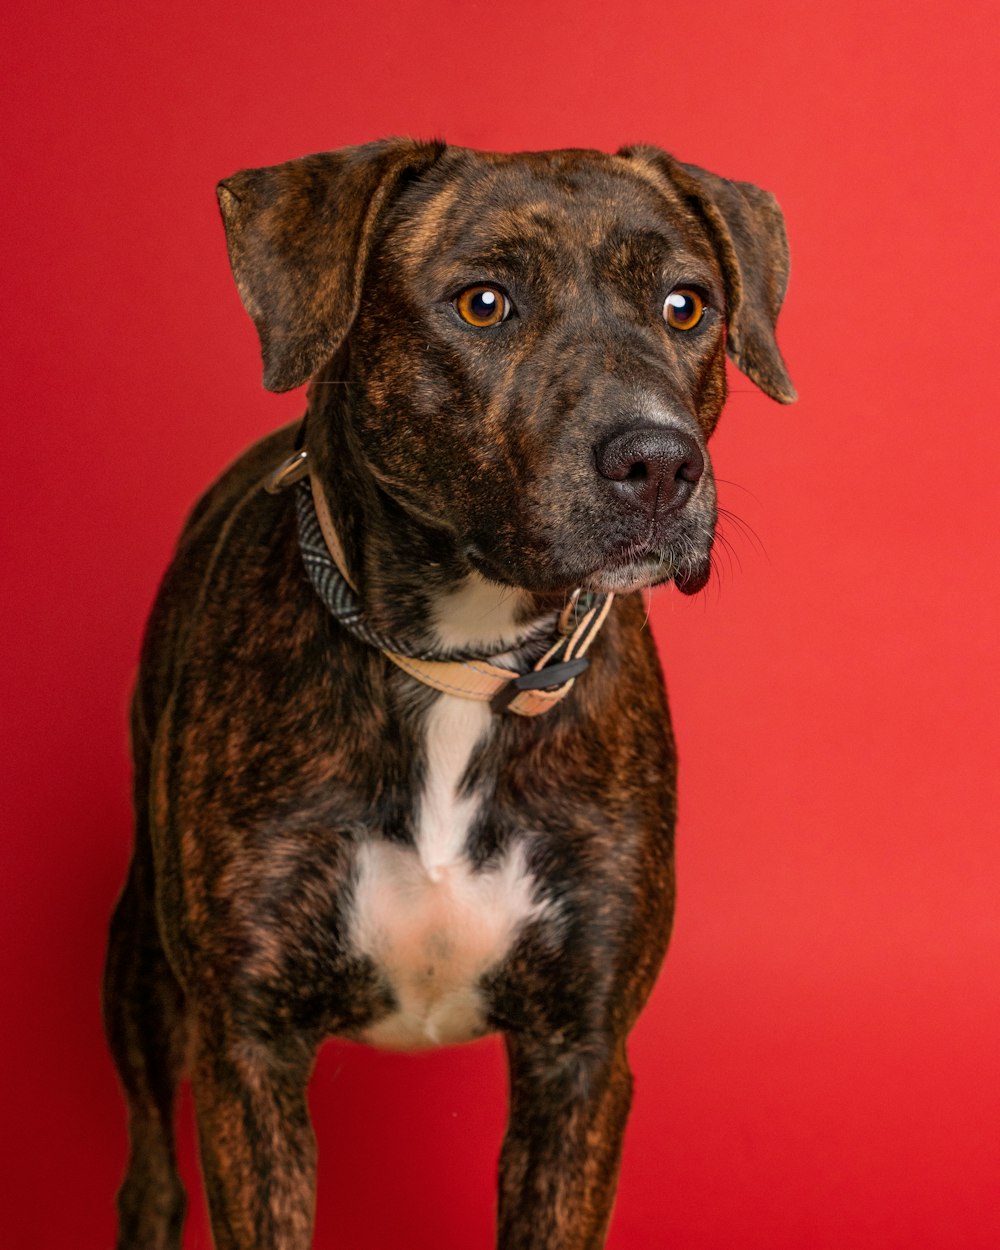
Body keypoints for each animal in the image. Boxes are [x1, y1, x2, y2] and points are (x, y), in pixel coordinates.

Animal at [103, 139, 795, 1250]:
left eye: (686, 305)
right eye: (483, 302)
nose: (659, 461)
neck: (465, 663)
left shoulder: (579, 1059)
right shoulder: (248, 1053)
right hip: (142, 965)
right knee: (152, 1171)